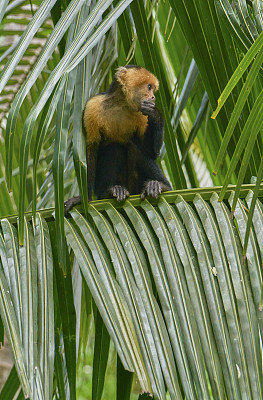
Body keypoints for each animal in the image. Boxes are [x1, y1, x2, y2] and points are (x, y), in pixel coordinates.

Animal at [64, 64, 172, 214]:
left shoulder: (141, 113)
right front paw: (83, 198)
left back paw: (161, 186)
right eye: (149, 87)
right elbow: (90, 150)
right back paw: (110, 192)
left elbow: (151, 153)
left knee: (135, 148)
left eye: (152, 89)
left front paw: (155, 113)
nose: (153, 97)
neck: (121, 104)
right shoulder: (92, 106)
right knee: (114, 147)